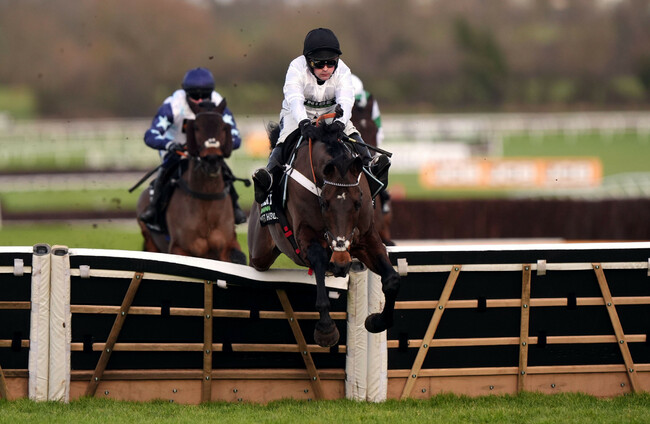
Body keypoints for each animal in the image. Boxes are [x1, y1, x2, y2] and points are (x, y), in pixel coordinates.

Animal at [248, 115, 400, 348]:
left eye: (358, 202)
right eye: (324, 203)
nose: (341, 262)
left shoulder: (366, 237)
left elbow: (392, 279)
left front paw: (376, 321)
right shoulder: (306, 235)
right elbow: (319, 259)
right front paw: (326, 329)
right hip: (259, 253)